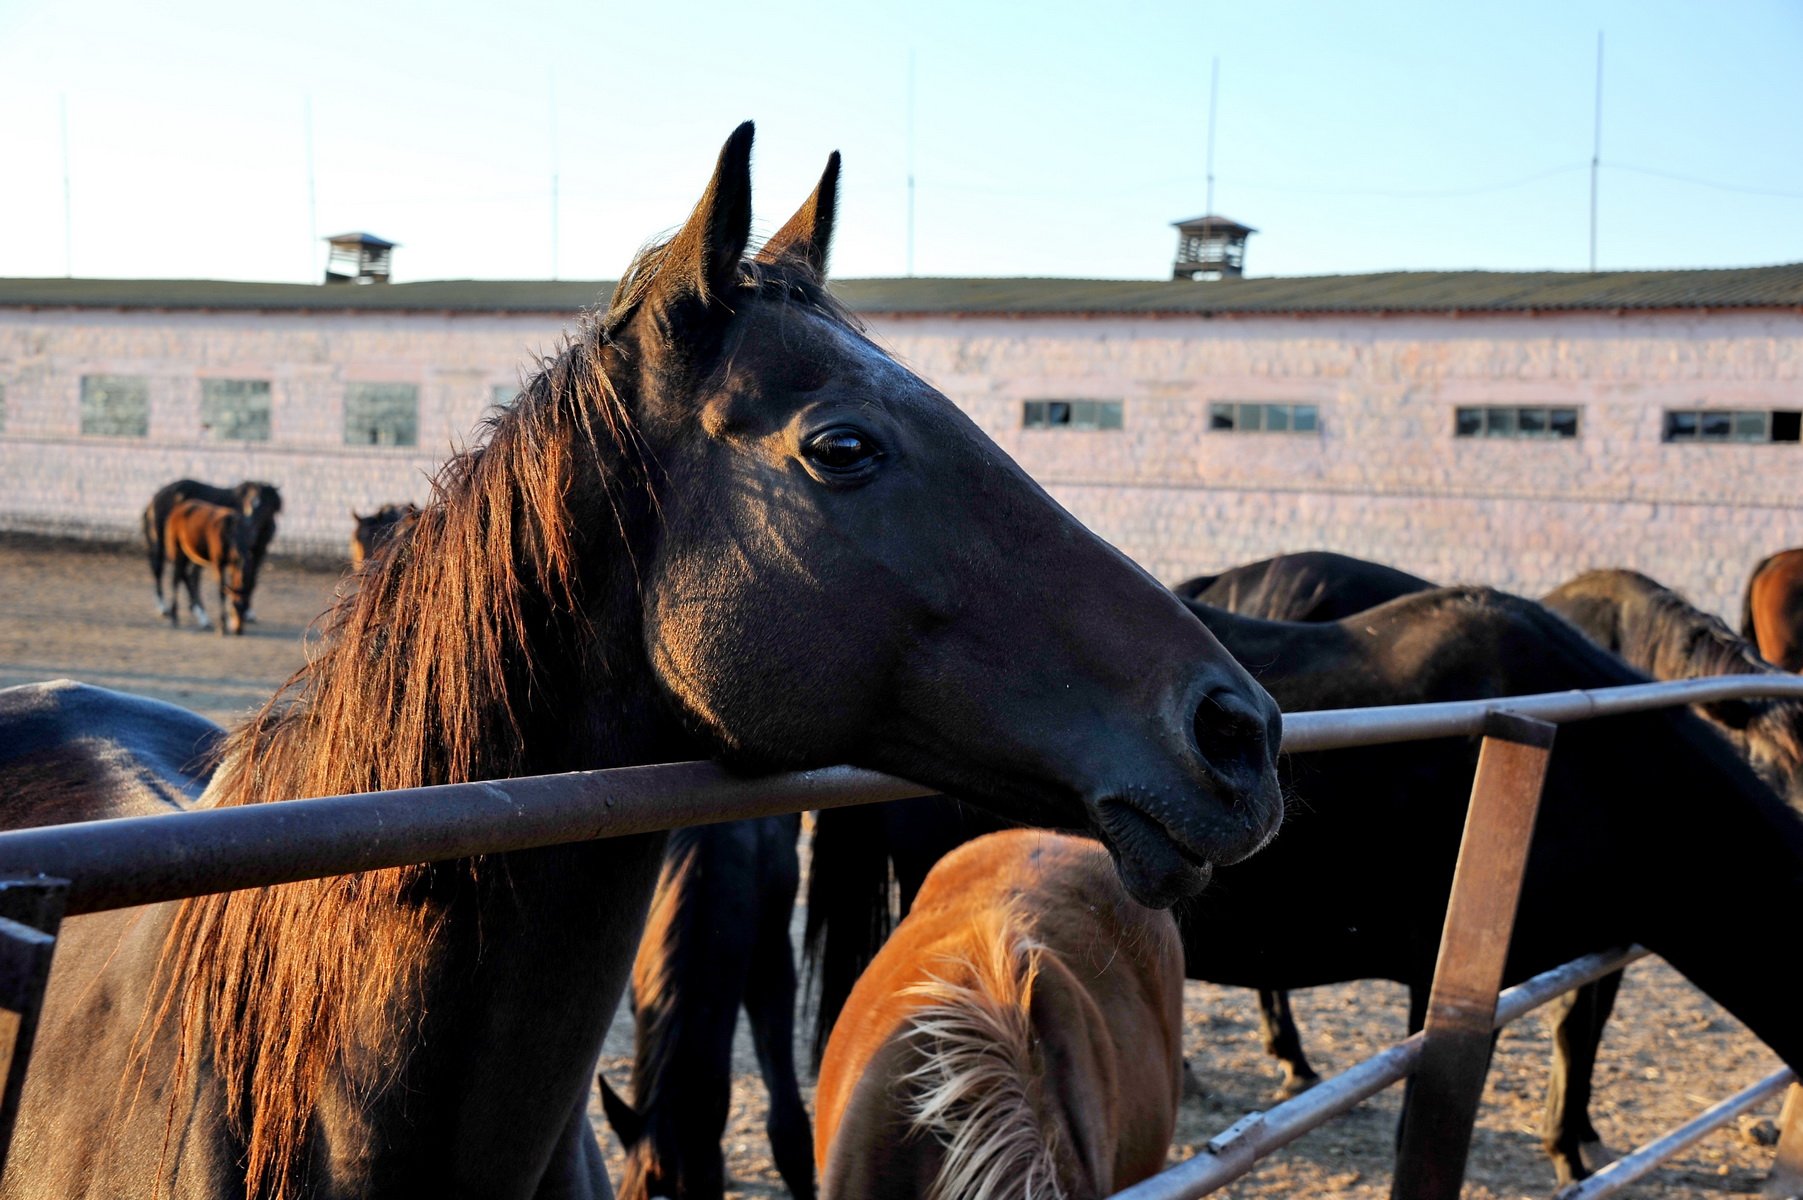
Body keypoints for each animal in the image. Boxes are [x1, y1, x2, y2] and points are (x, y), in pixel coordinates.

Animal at [144, 478, 282, 619]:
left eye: (265, 506)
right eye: (246, 504)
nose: (249, 532)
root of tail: (155, 498)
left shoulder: (258, 552)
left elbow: (251, 580)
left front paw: (246, 611)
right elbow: (238, 578)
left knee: (184, 573)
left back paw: (197, 610)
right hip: (164, 543)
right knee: (161, 569)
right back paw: (167, 608)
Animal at [163, 498, 260, 635]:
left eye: (246, 606)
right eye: (235, 606)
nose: (238, 630)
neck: (232, 534)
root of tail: (177, 509)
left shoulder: (234, 564)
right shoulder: (218, 563)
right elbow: (221, 591)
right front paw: (222, 626)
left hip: (194, 555)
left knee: (191, 576)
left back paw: (203, 618)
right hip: (178, 549)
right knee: (176, 578)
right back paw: (175, 617)